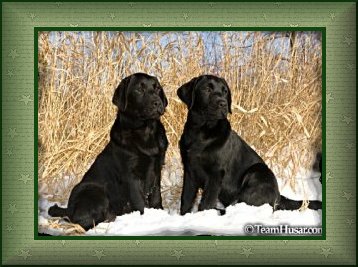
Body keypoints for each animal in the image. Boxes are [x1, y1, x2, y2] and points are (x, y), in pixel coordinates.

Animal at [48, 73, 169, 230]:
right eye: (139, 89)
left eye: (157, 88)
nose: (157, 103)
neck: (145, 132)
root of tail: (68, 209)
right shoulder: (131, 175)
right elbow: (139, 201)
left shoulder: (157, 168)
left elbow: (156, 196)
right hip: (93, 189)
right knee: (82, 221)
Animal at [178, 75, 320, 216]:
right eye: (207, 89)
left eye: (225, 92)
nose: (223, 103)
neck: (201, 132)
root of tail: (279, 196)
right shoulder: (189, 170)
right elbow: (186, 199)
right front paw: (184, 215)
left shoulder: (215, 173)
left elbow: (206, 202)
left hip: (257, 171)